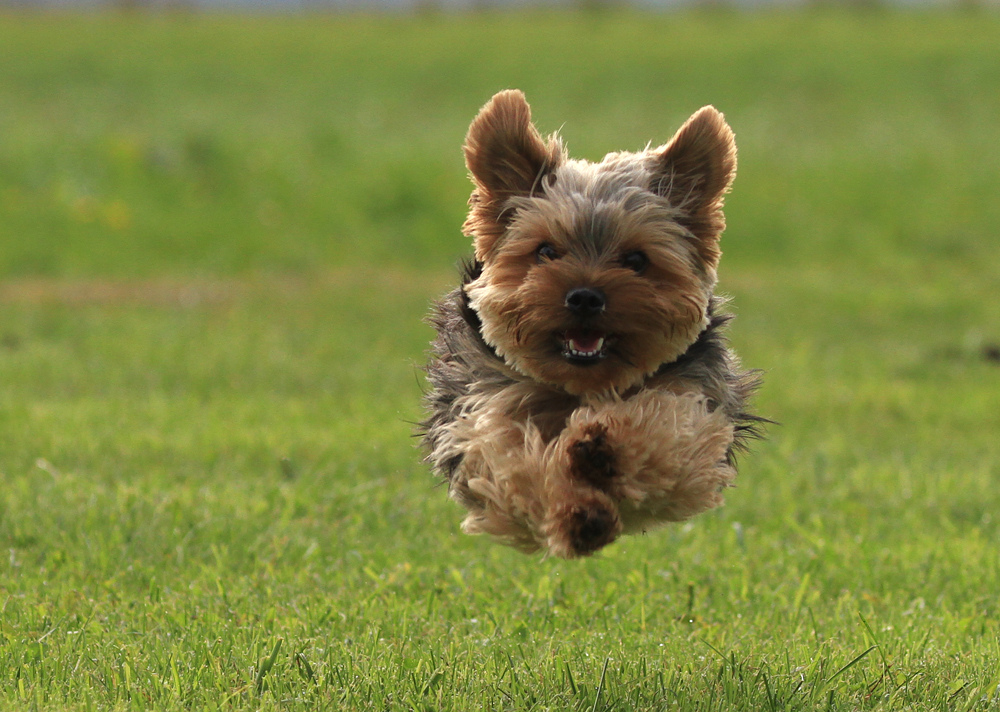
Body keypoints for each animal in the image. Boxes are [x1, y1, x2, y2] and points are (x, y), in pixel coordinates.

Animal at [418, 90, 760, 556]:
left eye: (636, 260)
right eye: (546, 251)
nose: (584, 296)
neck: (582, 389)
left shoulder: (695, 410)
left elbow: (667, 432)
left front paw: (603, 446)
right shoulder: (481, 418)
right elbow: (513, 466)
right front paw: (579, 514)